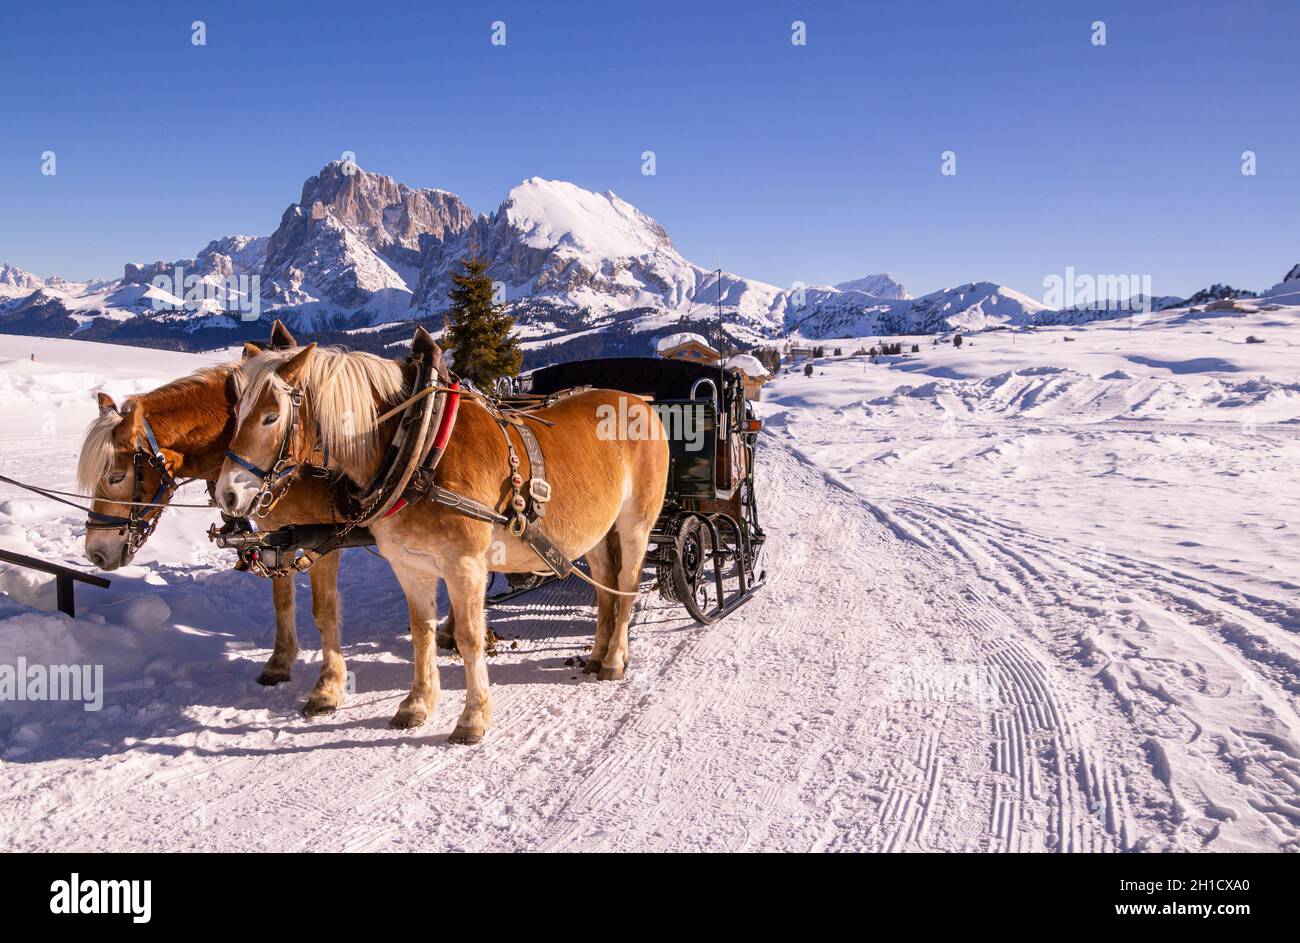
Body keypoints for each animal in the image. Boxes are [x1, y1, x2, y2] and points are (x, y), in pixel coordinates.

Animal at [77, 325, 351, 712]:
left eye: (116, 477)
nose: (96, 552)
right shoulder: (277, 535)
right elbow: (282, 601)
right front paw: (279, 664)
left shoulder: (326, 536)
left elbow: (324, 610)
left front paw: (328, 687)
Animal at [214, 338, 670, 743]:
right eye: (235, 412)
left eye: (271, 417)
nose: (227, 495)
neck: (418, 449)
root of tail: (641, 402)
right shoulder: (410, 564)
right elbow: (421, 633)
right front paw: (417, 704)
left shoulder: (464, 564)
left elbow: (469, 637)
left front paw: (472, 718)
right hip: (594, 531)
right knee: (605, 587)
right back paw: (597, 654)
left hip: (635, 523)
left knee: (626, 585)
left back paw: (614, 659)